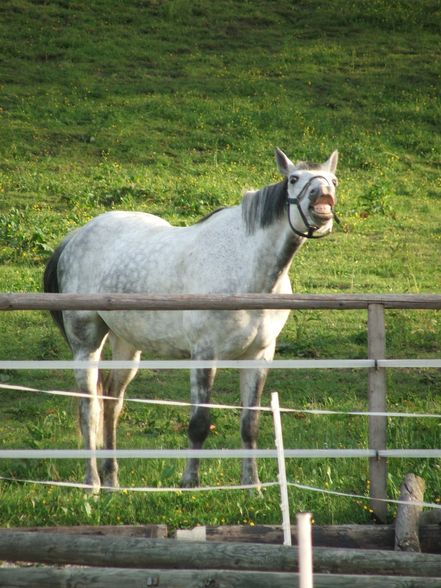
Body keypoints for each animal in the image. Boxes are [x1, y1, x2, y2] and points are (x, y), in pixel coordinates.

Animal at [44, 148, 338, 492]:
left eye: (333, 180)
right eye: (293, 179)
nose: (323, 197)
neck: (245, 266)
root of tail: (76, 236)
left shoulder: (259, 355)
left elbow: (250, 424)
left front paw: (252, 486)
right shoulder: (204, 354)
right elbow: (198, 423)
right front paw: (189, 482)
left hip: (126, 346)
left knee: (111, 403)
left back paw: (113, 481)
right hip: (86, 342)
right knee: (88, 407)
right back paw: (92, 484)